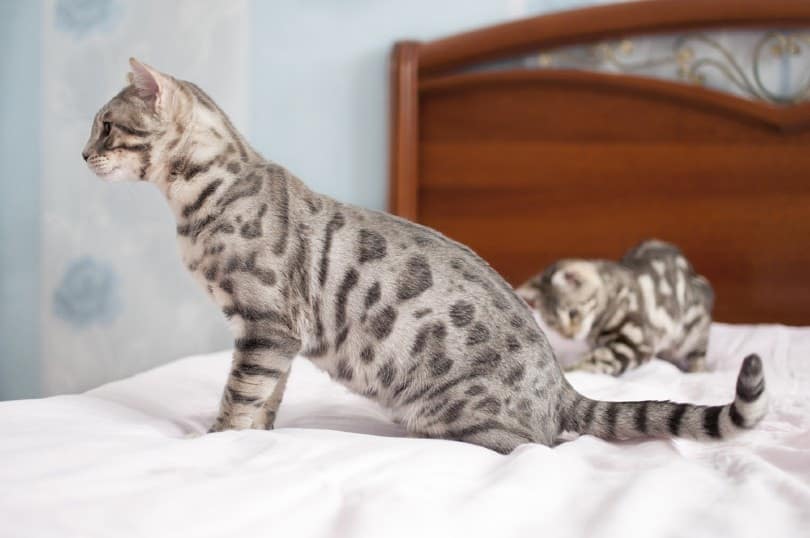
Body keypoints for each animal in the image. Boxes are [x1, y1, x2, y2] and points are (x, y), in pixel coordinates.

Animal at [80, 58, 764, 452]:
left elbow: (241, 393)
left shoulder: (266, 324)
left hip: (454, 412)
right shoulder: (275, 337)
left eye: (106, 127)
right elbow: (267, 395)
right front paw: (260, 437)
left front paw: (217, 442)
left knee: (539, 446)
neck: (199, 197)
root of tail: (561, 383)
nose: (82, 155)